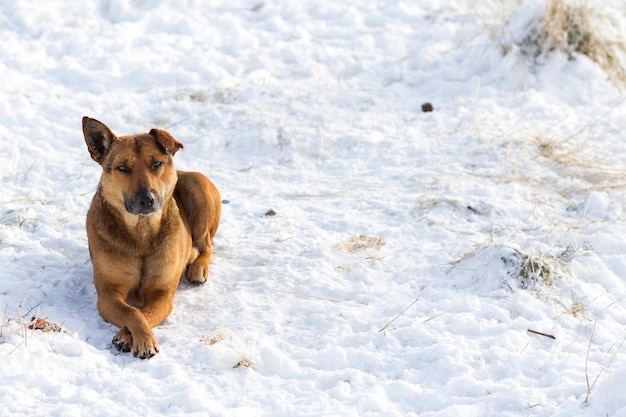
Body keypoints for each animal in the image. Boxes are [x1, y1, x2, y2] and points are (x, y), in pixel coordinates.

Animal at [81, 116, 221, 358]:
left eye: (156, 164)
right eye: (122, 168)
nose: (146, 199)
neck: (141, 233)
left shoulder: (162, 294)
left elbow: (145, 313)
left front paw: (131, 337)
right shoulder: (108, 294)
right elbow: (132, 312)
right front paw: (138, 338)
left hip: (198, 187)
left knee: (207, 246)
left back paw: (198, 268)